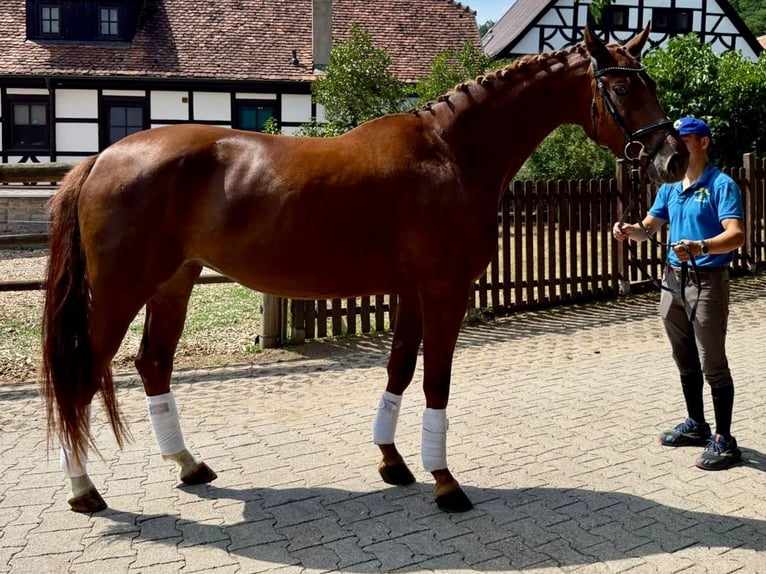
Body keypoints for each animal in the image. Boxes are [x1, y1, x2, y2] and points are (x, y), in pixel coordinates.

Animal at [42, 25, 688, 514]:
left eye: (650, 81)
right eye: (621, 86)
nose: (673, 157)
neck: (450, 152)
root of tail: (103, 157)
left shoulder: (411, 292)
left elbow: (400, 370)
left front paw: (393, 462)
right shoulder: (445, 291)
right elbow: (435, 380)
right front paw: (445, 482)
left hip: (173, 283)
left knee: (153, 364)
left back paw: (188, 464)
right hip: (121, 291)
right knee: (84, 374)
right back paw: (83, 490)